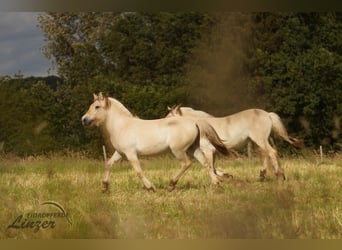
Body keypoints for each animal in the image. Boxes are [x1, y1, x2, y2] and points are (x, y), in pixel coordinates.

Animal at [81, 93, 228, 192]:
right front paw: (104, 187)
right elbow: (108, 164)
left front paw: (151, 187)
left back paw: (171, 185)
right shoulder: (120, 153)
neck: (122, 125)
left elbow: (138, 171)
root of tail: (194, 122)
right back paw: (217, 184)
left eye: (97, 107)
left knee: (186, 163)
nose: (84, 120)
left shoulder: (130, 153)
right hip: (193, 148)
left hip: (178, 150)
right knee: (206, 164)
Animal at [166, 105, 302, 180]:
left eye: (169, 118)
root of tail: (267, 114)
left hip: (260, 140)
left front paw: (224, 177)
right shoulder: (213, 151)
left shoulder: (208, 150)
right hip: (260, 141)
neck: (200, 125)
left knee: (271, 152)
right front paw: (227, 176)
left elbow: (210, 166)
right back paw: (262, 175)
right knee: (266, 154)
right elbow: (213, 167)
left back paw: (279, 175)